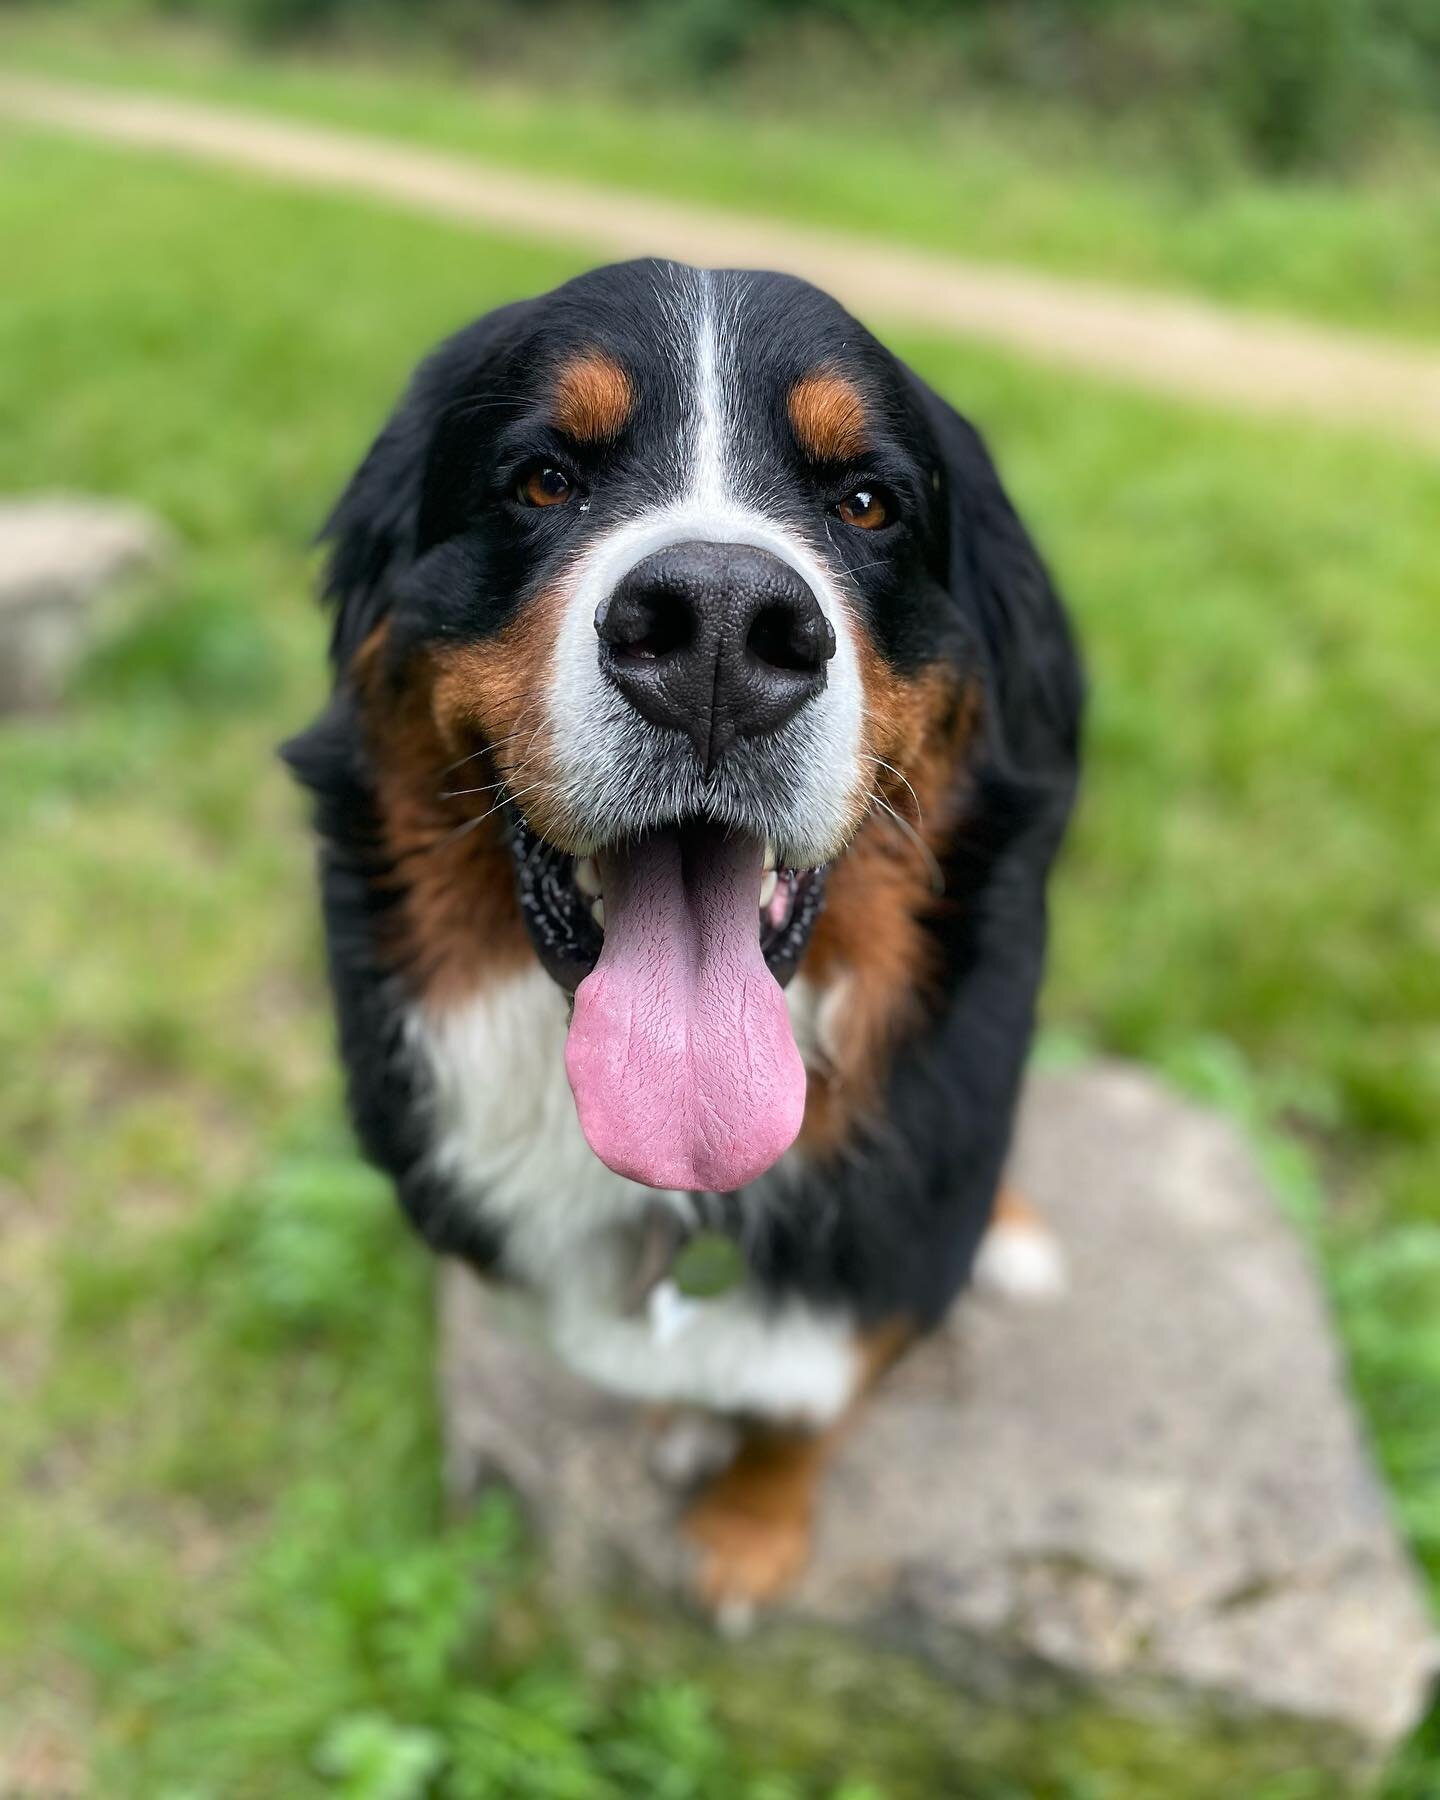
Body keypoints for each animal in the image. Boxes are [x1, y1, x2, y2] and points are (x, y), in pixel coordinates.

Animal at [284, 257, 1080, 1620]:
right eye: (542, 479)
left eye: (867, 502)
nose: (716, 625)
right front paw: (691, 1428)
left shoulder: (893, 1247)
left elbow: (812, 1404)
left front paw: (746, 1536)